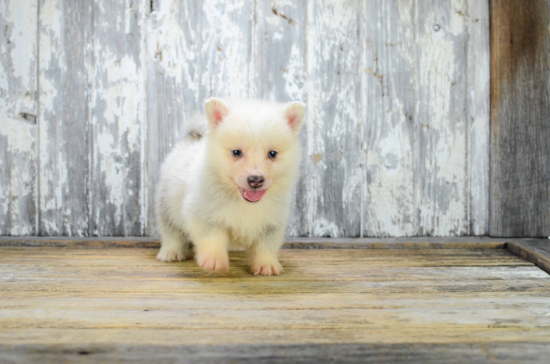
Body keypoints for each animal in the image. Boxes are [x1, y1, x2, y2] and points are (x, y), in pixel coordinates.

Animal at [156, 98, 306, 274]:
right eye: (236, 152)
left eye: (273, 153)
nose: (256, 180)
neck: (244, 203)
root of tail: (192, 137)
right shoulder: (204, 215)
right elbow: (212, 239)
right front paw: (214, 261)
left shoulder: (272, 222)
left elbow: (266, 245)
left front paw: (266, 264)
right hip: (167, 207)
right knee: (172, 234)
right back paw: (170, 253)